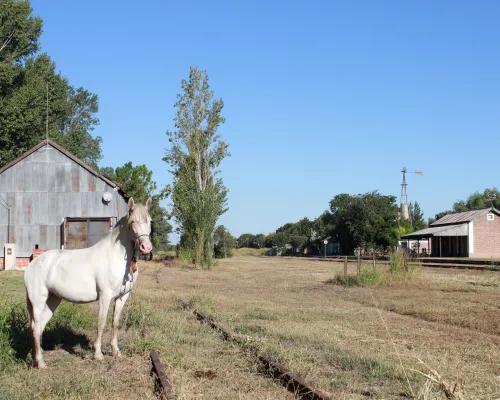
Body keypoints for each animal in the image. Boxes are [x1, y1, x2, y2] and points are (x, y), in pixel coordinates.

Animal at [23, 197, 152, 368]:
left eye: (149, 220)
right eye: (132, 221)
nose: (146, 247)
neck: (114, 256)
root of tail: (32, 264)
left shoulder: (122, 297)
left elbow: (115, 322)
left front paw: (116, 351)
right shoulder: (105, 296)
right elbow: (101, 322)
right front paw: (98, 354)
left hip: (52, 300)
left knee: (39, 327)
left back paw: (37, 358)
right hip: (38, 301)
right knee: (35, 327)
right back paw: (41, 363)